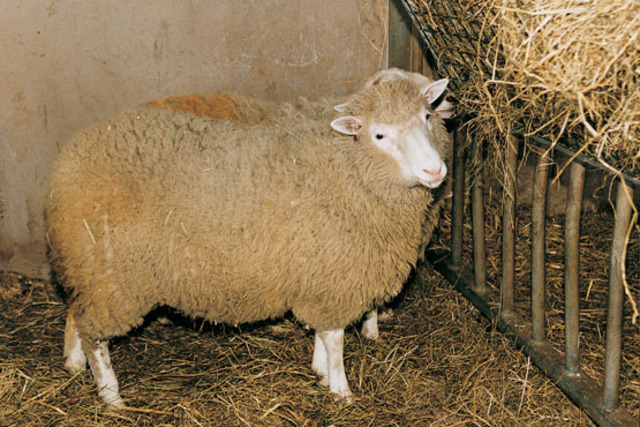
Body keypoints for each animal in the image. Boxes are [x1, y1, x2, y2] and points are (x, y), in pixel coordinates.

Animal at [45, 71, 452, 407]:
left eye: (425, 117)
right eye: (379, 134)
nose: (435, 170)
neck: (345, 168)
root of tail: (68, 162)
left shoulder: (319, 275)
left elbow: (323, 334)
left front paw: (320, 372)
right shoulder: (334, 276)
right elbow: (335, 340)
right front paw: (341, 391)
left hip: (87, 265)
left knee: (75, 310)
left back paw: (73, 363)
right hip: (112, 274)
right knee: (96, 337)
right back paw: (111, 396)